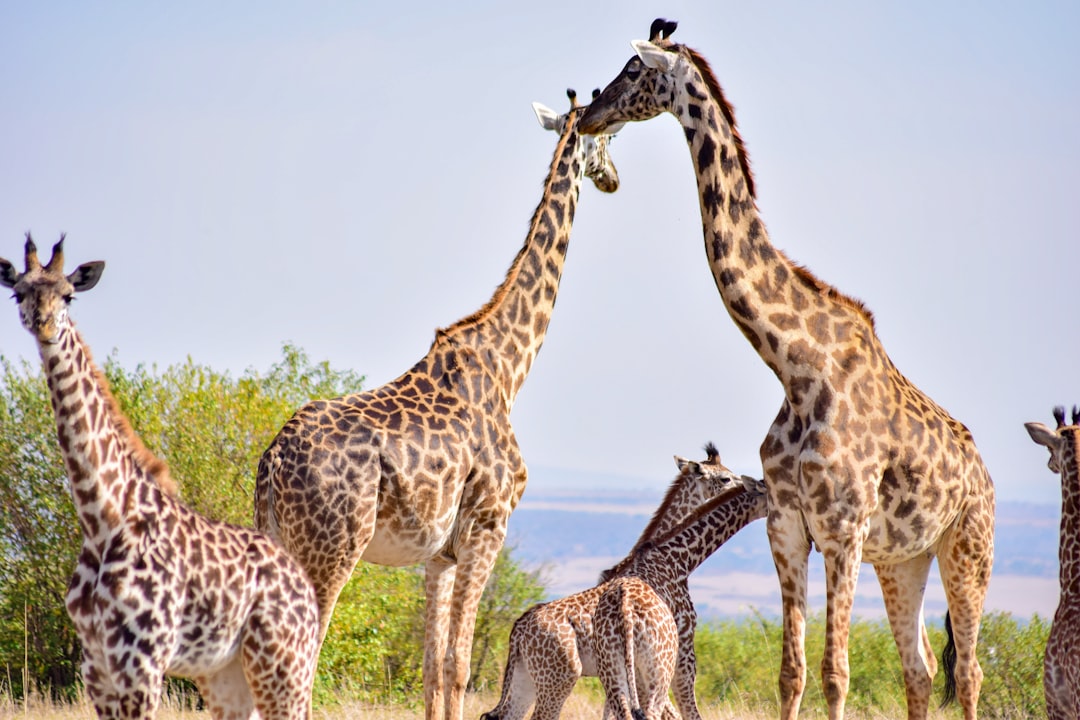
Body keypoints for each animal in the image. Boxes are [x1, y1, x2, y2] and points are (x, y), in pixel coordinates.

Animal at [0, 235, 320, 720]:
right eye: (19, 293)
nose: (44, 325)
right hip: (227, 675)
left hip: (284, 665)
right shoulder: (97, 667)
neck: (102, 517)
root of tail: (305, 587)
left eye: (69, 295)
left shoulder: (142, 663)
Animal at [254, 88, 620, 720]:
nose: (614, 179)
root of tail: (272, 460)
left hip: (278, 539)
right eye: (612, 137)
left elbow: (433, 669)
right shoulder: (487, 527)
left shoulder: (438, 554)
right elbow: (461, 664)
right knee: (300, 661)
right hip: (330, 552)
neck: (509, 365)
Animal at [579, 19, 996, 720]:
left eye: (634, 70)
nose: (588, 113)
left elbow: (836, 673)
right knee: (920, 667)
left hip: (967, 547)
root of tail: (984, 473)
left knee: (967, 670)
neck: (797, 367)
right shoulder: (788, 527)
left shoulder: (843, 530)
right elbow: (791, 672)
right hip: (904, 560)